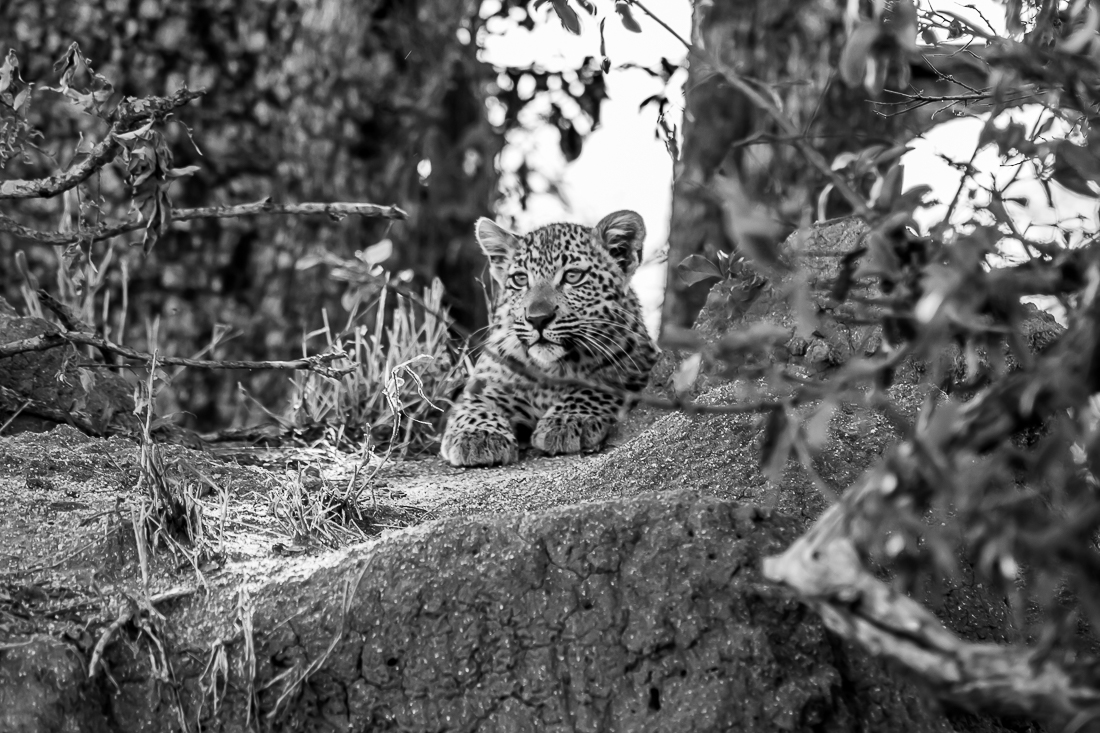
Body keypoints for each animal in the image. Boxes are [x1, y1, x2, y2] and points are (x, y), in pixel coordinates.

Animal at [441, 209, 659, 467]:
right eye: (520, 279)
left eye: (573, 276)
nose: (537, 319)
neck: (552, 369)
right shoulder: (486, 381)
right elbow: (474, 404)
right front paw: (478, 435)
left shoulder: (636, 368)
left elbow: (599, 388)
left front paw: (568, 420)